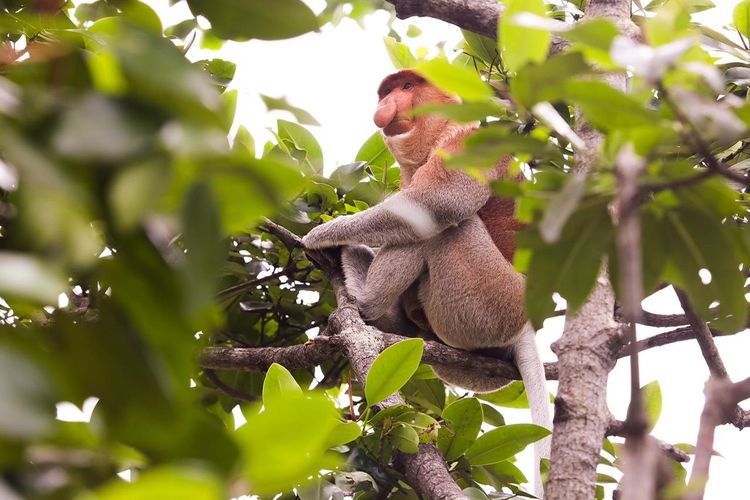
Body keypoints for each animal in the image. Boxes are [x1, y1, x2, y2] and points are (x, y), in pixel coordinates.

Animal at [304, 70, 552, 496]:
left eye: (406, 87)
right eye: (388, 91)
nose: (387, 104)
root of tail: (525, 326)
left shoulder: (466, 142)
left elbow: (435, 203)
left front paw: (321, 235)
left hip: (489, 299)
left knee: (448, 225)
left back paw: (364, 296)